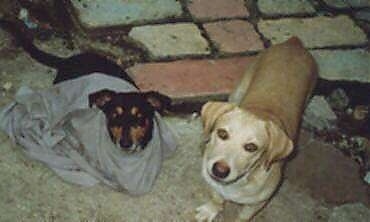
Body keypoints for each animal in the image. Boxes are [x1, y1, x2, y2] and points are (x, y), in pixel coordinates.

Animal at [197, 37, 318, 221]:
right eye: (222, 133)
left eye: (251, 147)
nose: (220, 171)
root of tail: (294, 43)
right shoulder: (213, 183)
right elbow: (216, 199)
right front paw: (210, 210)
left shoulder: (257, 204)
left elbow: (243, 217)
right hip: (238, 91)